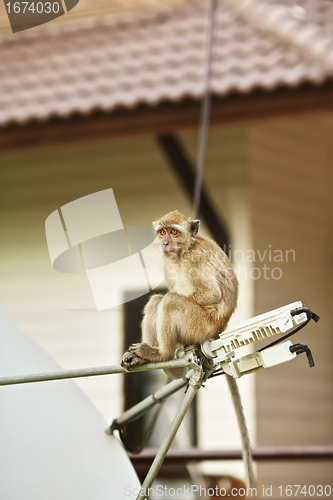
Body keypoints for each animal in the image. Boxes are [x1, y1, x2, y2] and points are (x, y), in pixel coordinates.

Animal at [120, 211, 237, 372]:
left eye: (174, 232)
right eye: (163, 232)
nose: (165, 243)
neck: (186, 249)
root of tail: (219, 330)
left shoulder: (195, 259)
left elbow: (211, 293)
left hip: (200, 328)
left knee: (170, 301)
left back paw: (162, 354)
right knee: (156, 301)